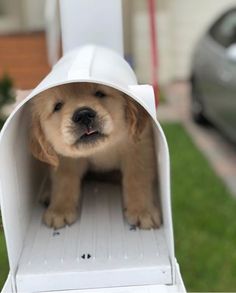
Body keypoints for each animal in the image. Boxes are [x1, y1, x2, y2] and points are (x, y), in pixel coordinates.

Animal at [29, 82, 160, 228]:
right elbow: (64, 182)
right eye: (57, 106)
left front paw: (142, 211)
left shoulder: (139, 148)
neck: (100, 150)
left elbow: (137, 179)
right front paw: (59, 210)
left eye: (100, 94)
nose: (83, 115)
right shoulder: (64, 159)